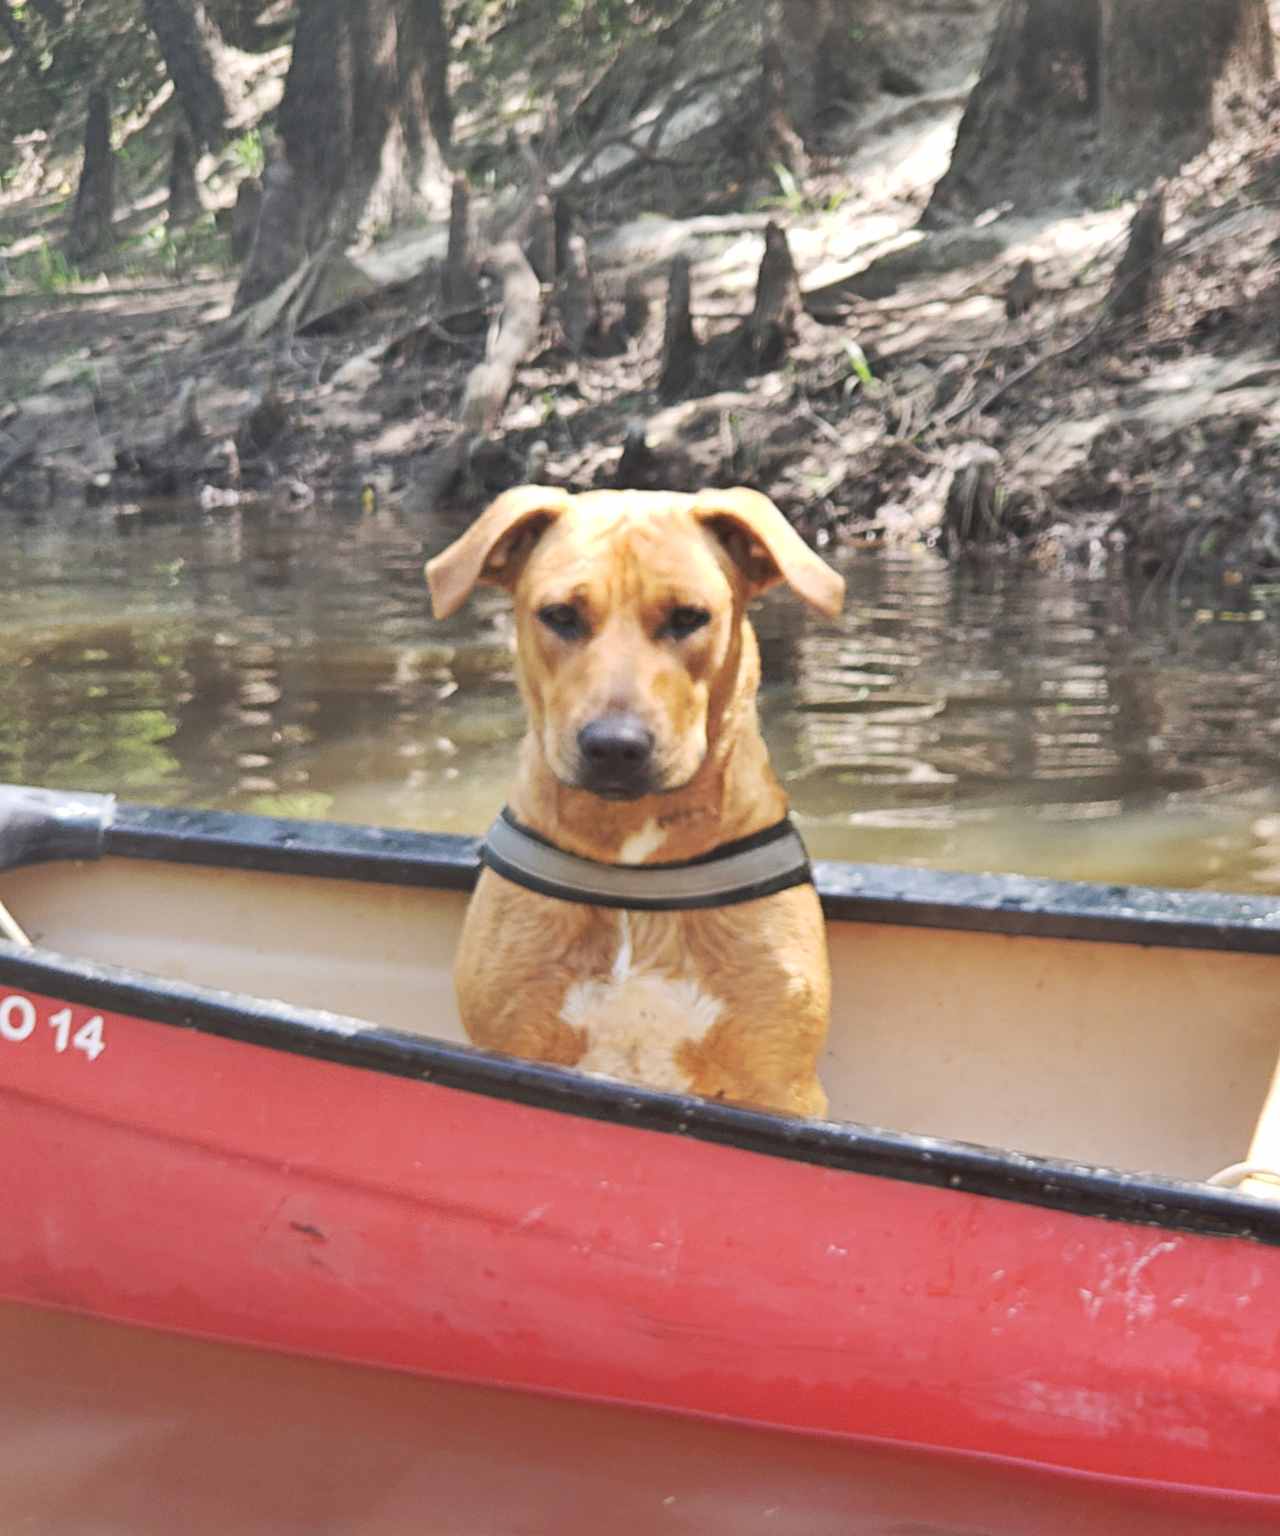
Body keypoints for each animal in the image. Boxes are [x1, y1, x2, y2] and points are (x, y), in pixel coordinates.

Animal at [430, 482, 842, 1118]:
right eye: (561, 616)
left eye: (689, 617)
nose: (614, 746)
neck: (633, 857)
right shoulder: (512, 1042)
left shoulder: (779, 1081)